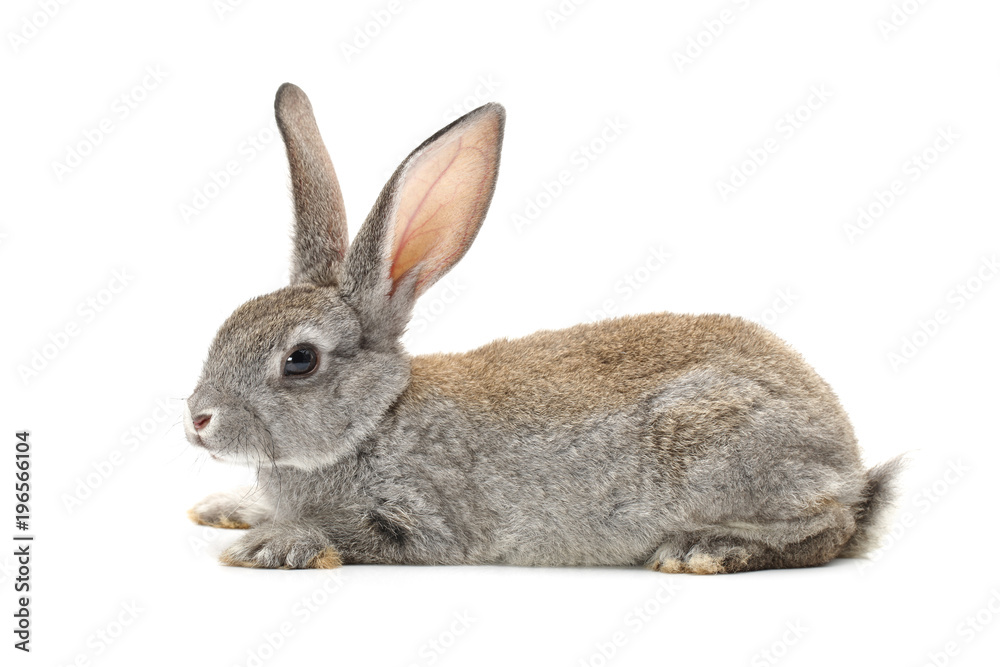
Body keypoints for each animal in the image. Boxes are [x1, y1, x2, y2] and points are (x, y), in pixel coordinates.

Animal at [184, 83, 904, 576]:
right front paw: (225, 509)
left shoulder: (422, 519)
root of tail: (844, 457)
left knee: (831, 526)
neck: (374, 420)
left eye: (299, 360)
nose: (197, 420)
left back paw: (704, 548)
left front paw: (271, 543)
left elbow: (356, 537)